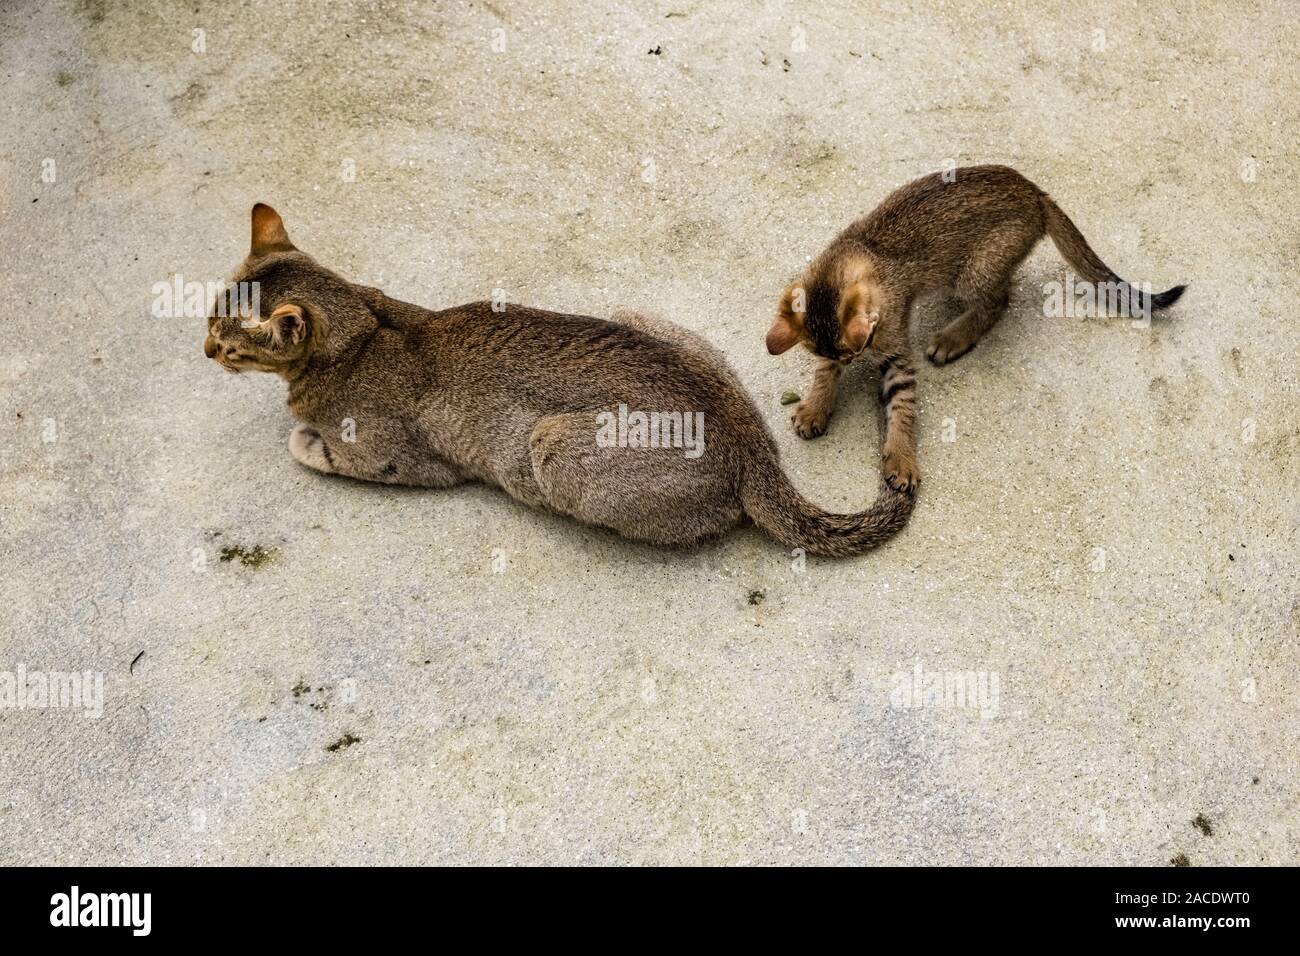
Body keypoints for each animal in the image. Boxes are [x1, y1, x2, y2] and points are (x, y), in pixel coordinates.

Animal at [205, 205, 915, 556]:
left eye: (228, 341)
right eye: (209, 315)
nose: (206, 349)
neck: (364, 329)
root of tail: (753, 449)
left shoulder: (399, 459)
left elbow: (314, 447)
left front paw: (302, 437)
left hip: (550, 446)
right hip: (640, 316)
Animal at [764, 164, 1185, 494]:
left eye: (865, 342)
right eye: (839, 353)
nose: (857, 357)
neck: (865, 253)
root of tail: (1034, 192)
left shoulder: (897, 354)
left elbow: (902, 408)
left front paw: (901, 459)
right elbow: (824, 372)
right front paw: (815, 407)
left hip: (974, 271)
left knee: (1000, 301)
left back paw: (953, 337)